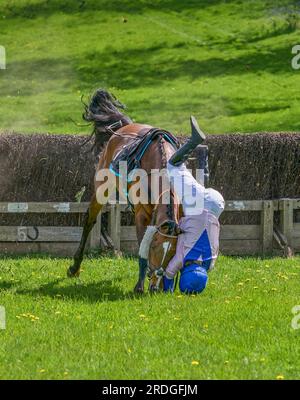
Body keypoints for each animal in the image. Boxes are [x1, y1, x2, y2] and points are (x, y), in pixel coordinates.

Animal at [67, 89, 182, 292]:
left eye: (171, 254)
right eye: (155, 248)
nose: (156, 287)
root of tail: (124, 126)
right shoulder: (142, 215)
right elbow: (141, 249)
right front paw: (140, 285)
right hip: (101, 188)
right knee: (90, 219)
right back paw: (75, 267)